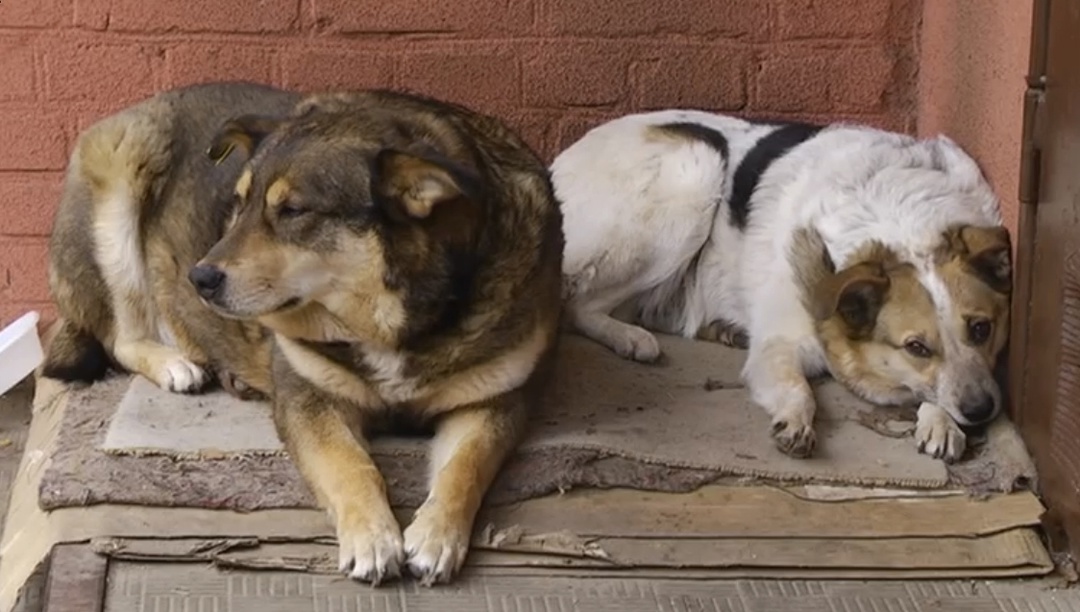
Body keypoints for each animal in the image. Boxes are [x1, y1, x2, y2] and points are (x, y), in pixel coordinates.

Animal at [552, 111, 1015, 464]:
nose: (982, 409)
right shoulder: (779, 344)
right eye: (917, 347)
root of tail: (557, 160)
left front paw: (941, 420)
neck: (897, 221)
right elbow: (799, 389)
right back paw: (631, 338)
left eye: (982, 329)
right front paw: (795, 417)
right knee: (577, 304)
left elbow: (937, 387)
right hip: (694, 173)